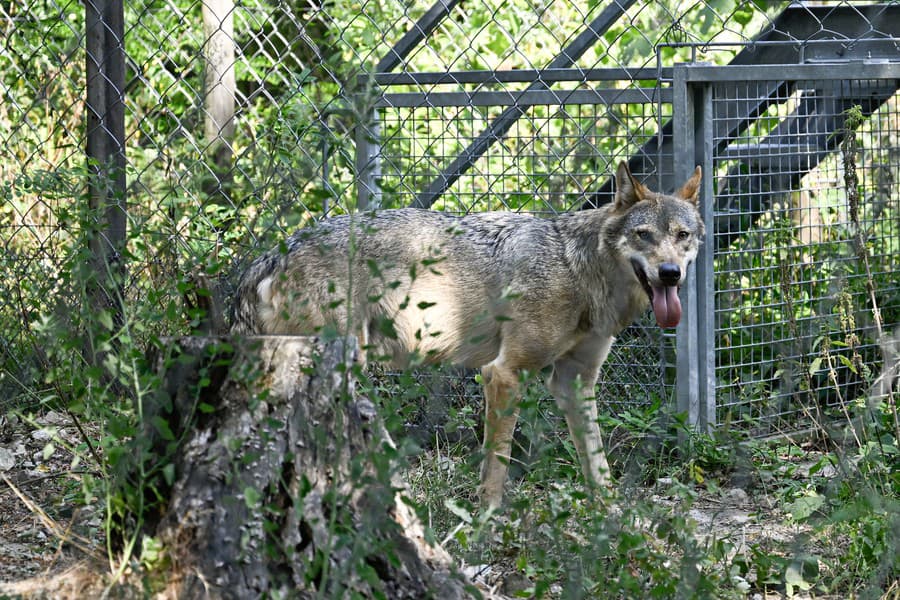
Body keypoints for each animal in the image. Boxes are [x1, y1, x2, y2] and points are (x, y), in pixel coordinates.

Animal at [230, 162, 704, 508]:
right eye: (643, 235)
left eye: (682, 236)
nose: (670, 273)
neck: (575, 269)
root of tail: (273, 253)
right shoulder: (504, 373)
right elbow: (497, 462)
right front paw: (486, 520)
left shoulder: (574, 381)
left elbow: (597, 463)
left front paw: (611, 519)